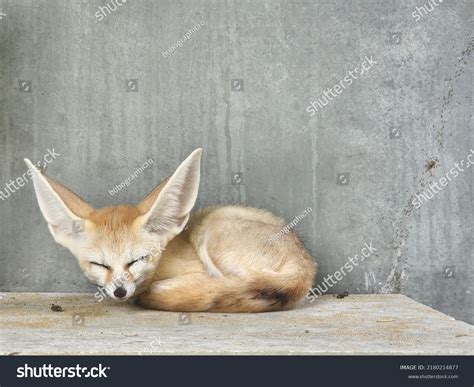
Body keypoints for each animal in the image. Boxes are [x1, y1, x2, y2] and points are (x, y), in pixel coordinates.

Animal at [24, 150, 316, 314]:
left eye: (136, 260)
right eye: (99, 264)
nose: (120, 292)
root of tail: (306, 266)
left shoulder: (197, 272)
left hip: (213, 236)